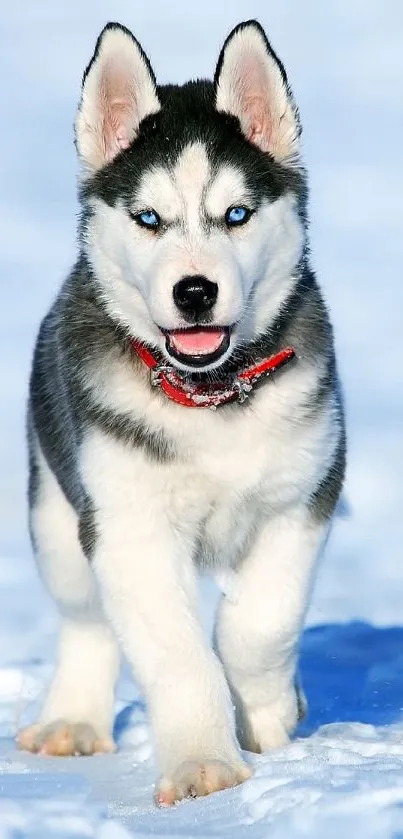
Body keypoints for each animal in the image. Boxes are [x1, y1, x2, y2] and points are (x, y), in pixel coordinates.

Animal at [18, 21, 348, 808]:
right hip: (55, 511)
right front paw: (204, 764)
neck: (209, 397)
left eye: (236, 214)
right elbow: (176, 653)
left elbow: (259, 623)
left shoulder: (303, 496)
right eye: (149, 219)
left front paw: (267, 710)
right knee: (85, 619)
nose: (194, 291)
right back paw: (72, 719)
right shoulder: (128, 526)